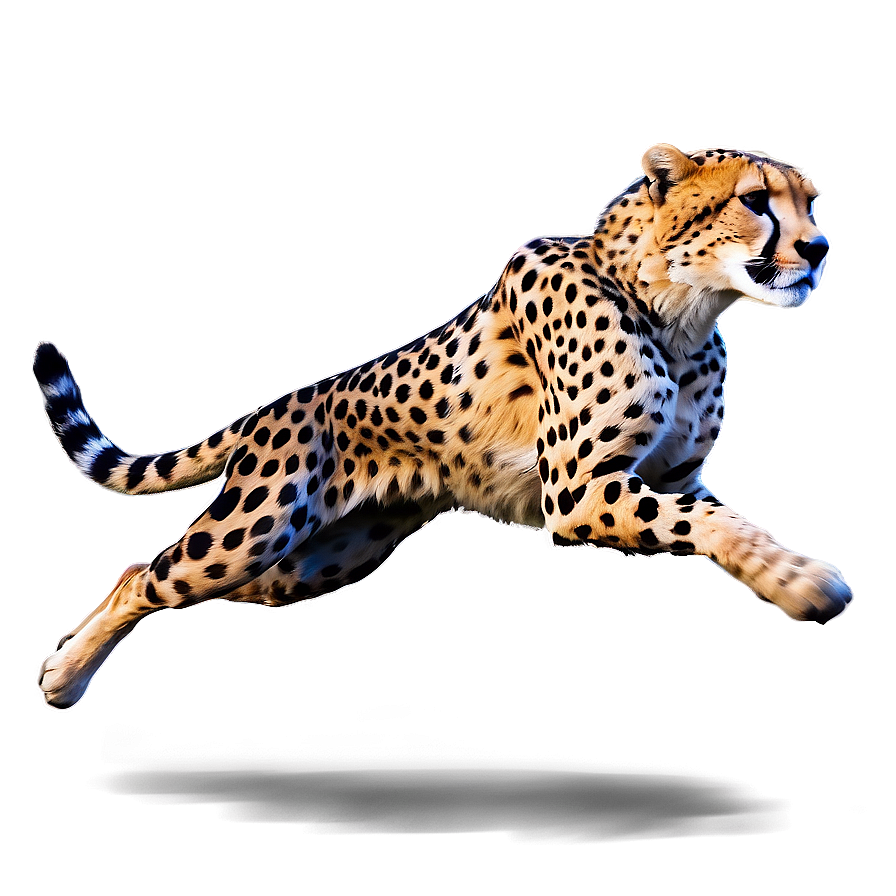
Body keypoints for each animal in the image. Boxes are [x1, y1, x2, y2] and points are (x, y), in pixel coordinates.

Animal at [34, 143, 853, 709]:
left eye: (812, 204)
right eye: (756, 200)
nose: (818, 250)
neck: (681, 310)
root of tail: (281, 404)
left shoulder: (671, 479)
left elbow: (724, 521)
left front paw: (789, 579)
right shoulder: (578, 492)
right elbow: (715, 523)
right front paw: (808, 583)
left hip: (309, 563)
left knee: (156, 574)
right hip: (254, 531)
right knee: (148, 576)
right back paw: (62, 677)